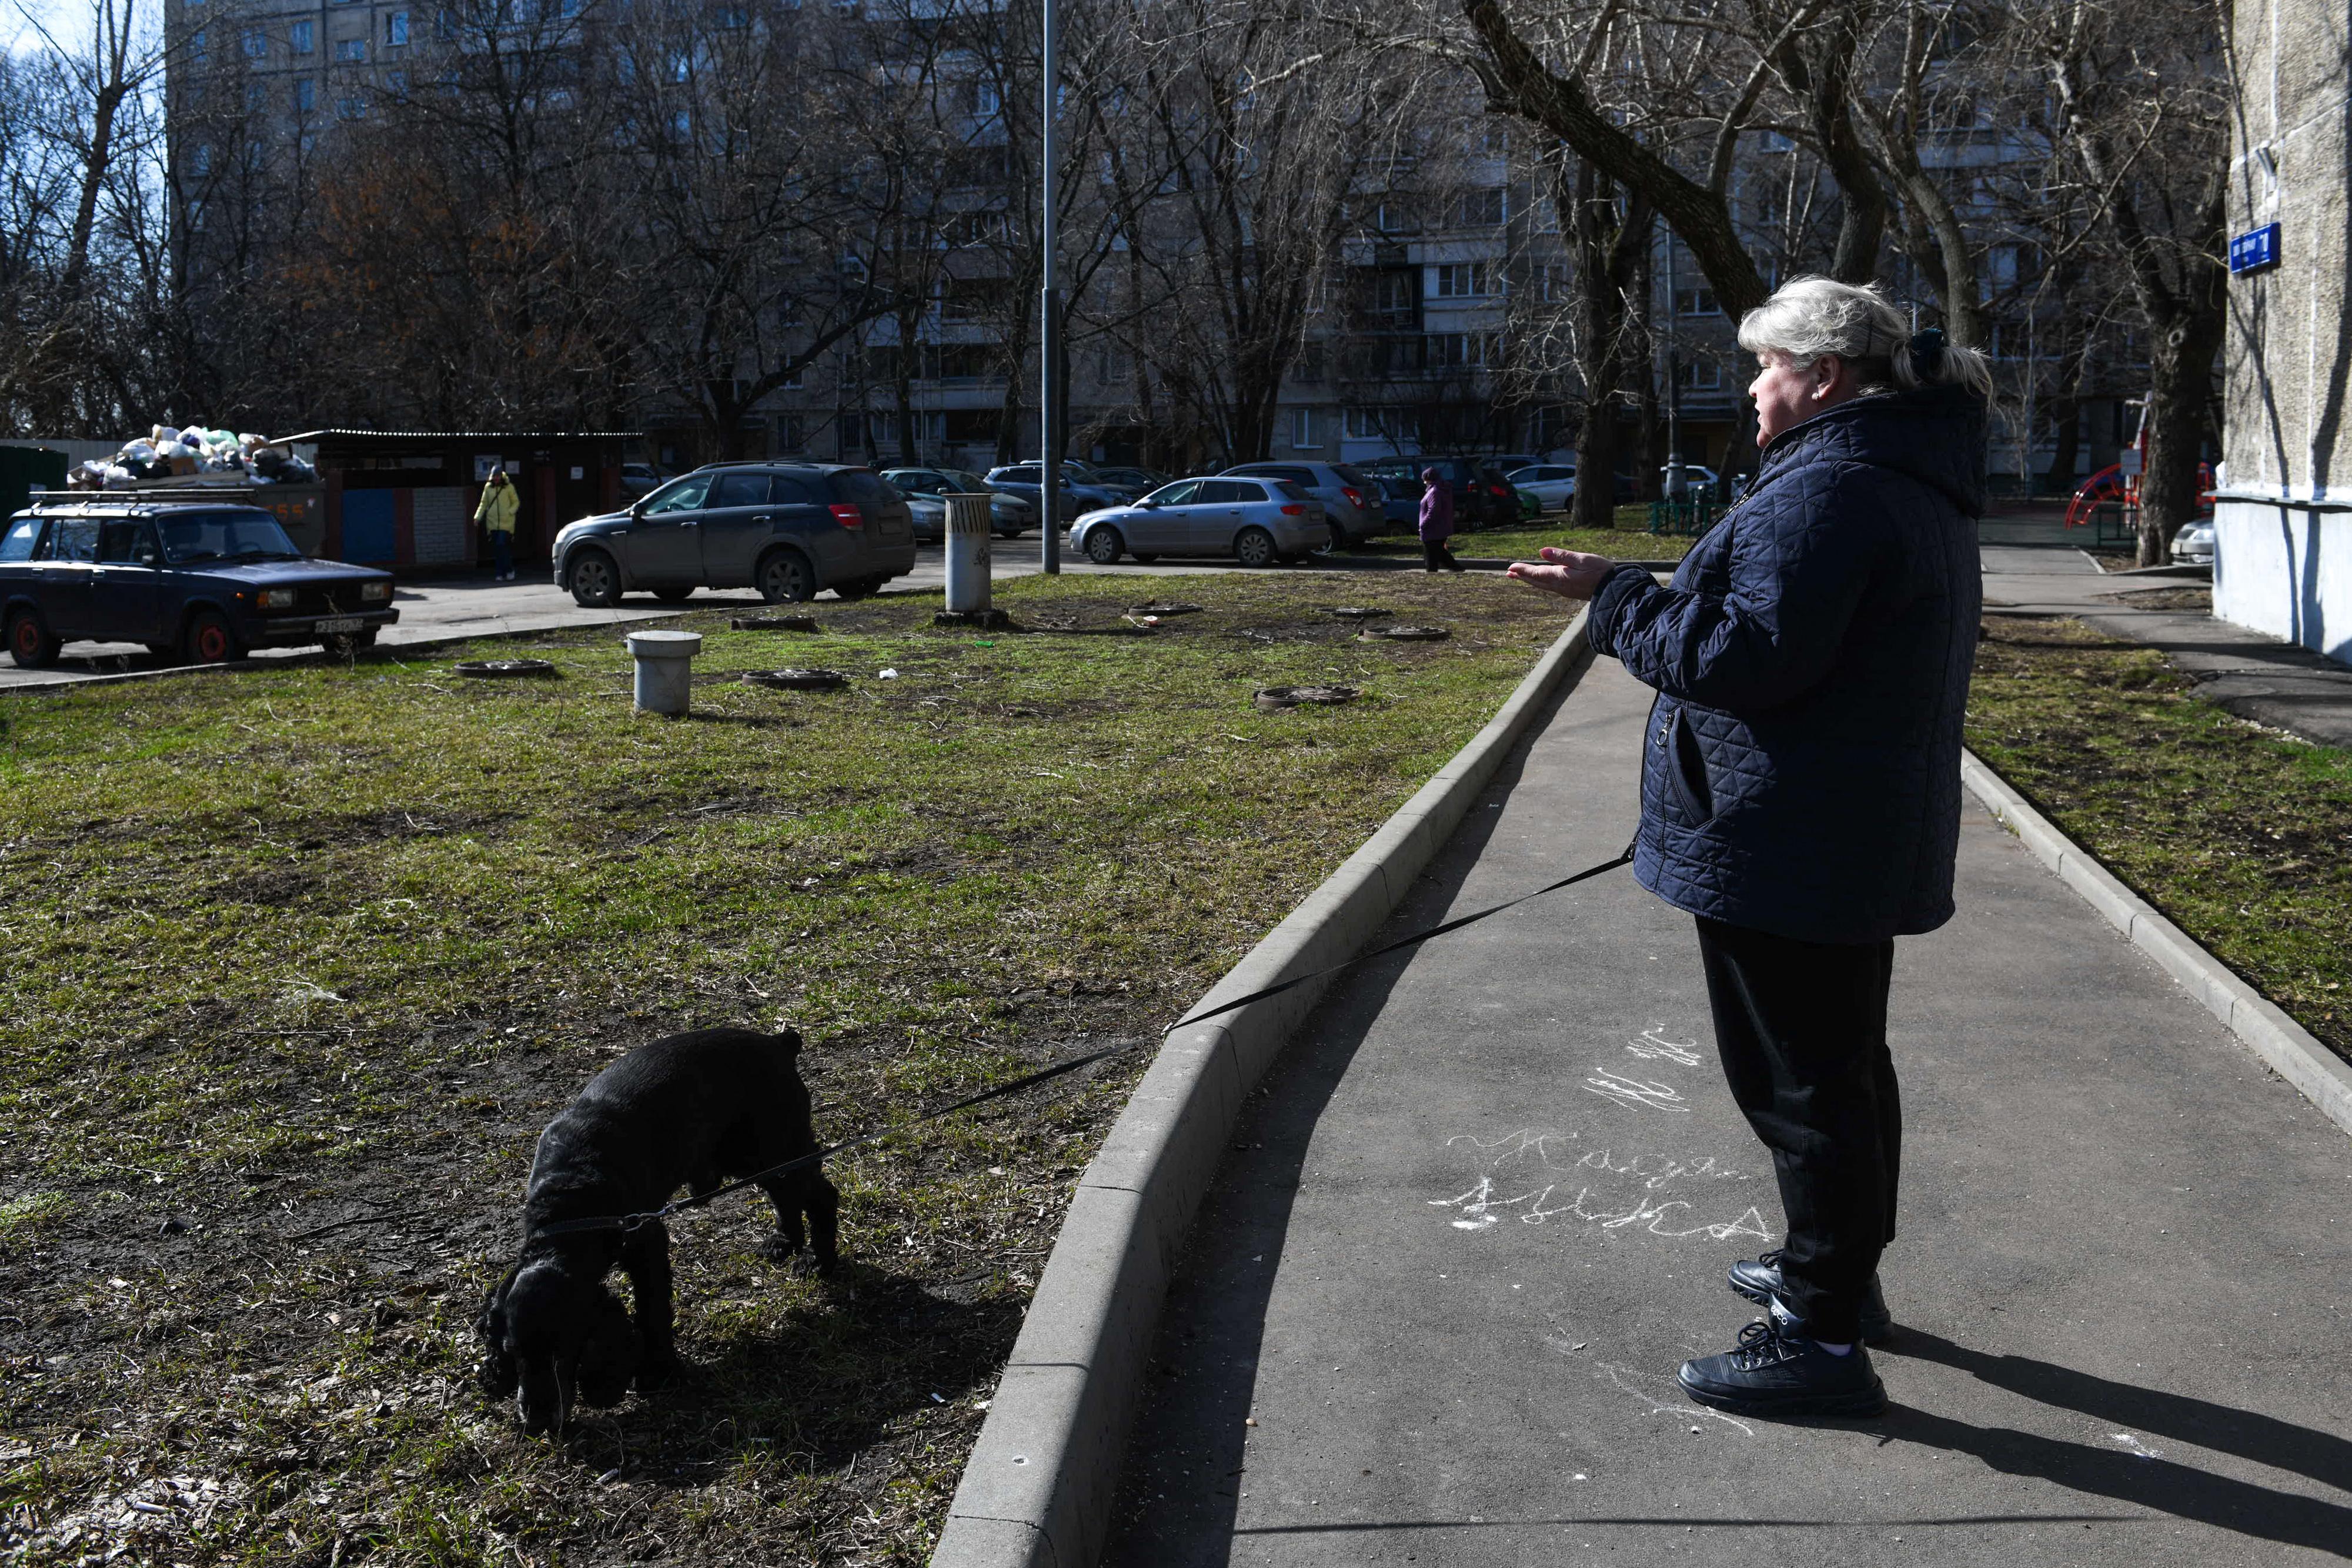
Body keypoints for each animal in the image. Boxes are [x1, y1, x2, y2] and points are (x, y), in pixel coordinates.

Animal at [475, 1029, 837, 1439]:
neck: (570, 1205)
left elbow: (653, 1310)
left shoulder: (646, 1239)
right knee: (785, 1196)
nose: (537, 1423)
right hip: (750, 1158)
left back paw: (818, 1262)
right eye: (512, 1352)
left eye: (561, 1353)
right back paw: (783, 1242)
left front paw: (658, 1372)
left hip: (776, 1147)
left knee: (821, 1196)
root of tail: (777, 1042)